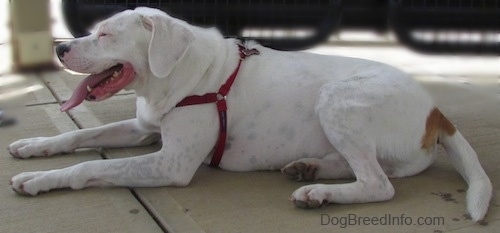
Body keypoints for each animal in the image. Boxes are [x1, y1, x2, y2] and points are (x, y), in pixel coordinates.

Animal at [7, 7, 492, 221]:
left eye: (106, 34)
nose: (60, 49)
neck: (176, 75)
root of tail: (437, 110)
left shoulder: (170, 162)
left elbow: (88, 165)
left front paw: (39, 180)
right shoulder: (145, 128)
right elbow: (77, 137)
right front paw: (34, 147)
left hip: (337, 98)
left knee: (378, 185)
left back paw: (318, 193)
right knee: (369, 169)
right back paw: (309, 169)